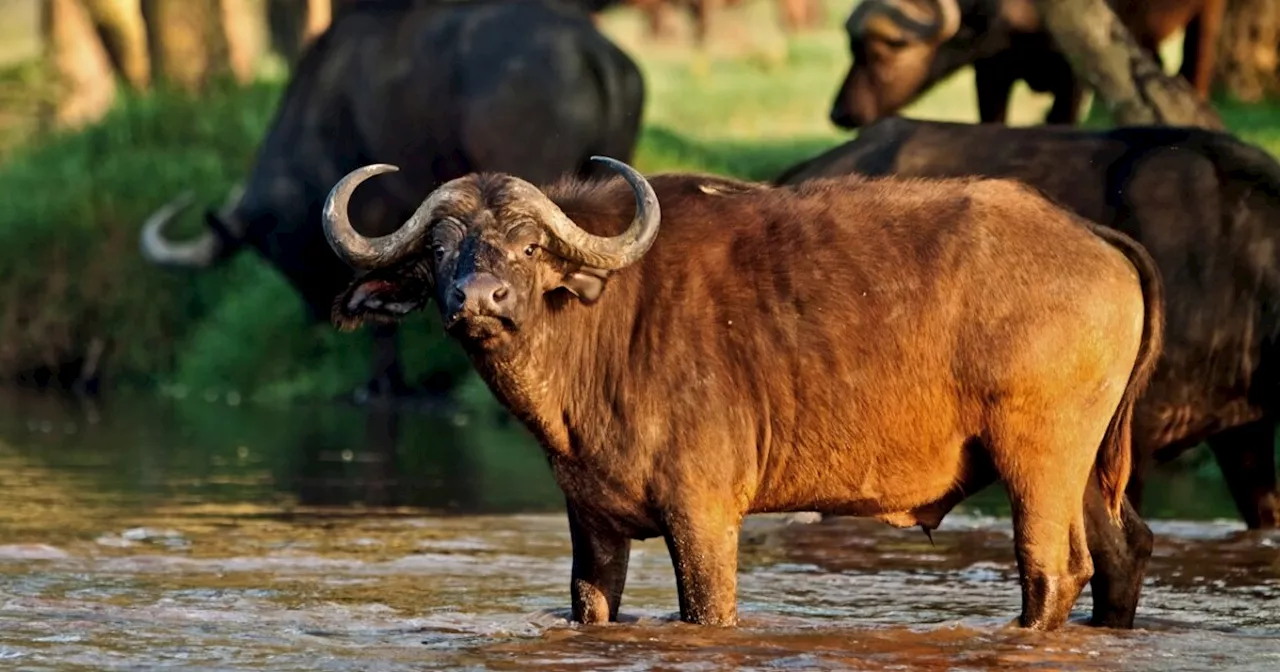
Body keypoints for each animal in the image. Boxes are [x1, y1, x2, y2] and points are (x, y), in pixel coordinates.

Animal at [322, 158, 1172, 629]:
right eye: (439, 250)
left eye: (530, 246)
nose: (479, 299)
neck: (602, 326)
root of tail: (1092, 235)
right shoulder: (591, 523)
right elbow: (592, 606)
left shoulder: (704, 517)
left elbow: (707, 608)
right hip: (1086, 467)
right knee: (1123, 552)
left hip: (1039, 460)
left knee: (1052, 570)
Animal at [829, 0, 1228, 129]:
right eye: (852, 47)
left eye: (891, 46)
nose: (841, 113)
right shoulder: (990, 71)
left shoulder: (1073, 77)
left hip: (1206, 16)